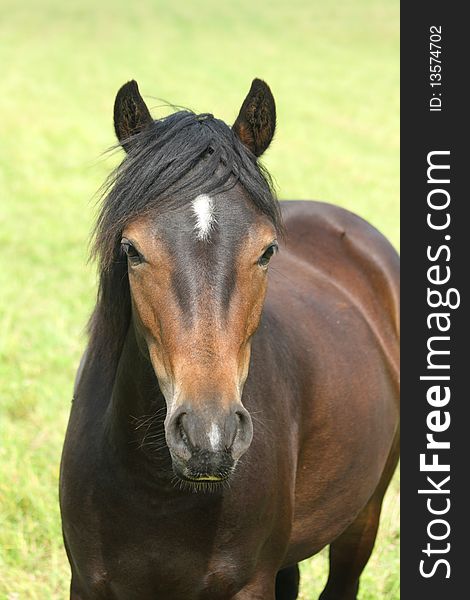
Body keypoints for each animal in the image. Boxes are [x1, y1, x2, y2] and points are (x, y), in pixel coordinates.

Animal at [59, 79, 400, 600]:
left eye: (267, 251)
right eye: (131, 250)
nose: (209, 436)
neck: (157, 489)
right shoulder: (87, 582)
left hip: (364, 517)